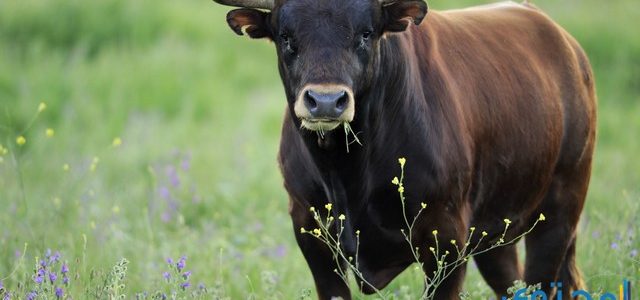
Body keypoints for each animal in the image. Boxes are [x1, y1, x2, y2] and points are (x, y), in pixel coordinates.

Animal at [209, 0, 596, 298]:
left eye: (365, 33)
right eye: (286, 36)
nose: (326, 101)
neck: (347, 172)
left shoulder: (446, 239)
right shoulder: (310, 231)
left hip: (559, 213)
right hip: (495, 236)